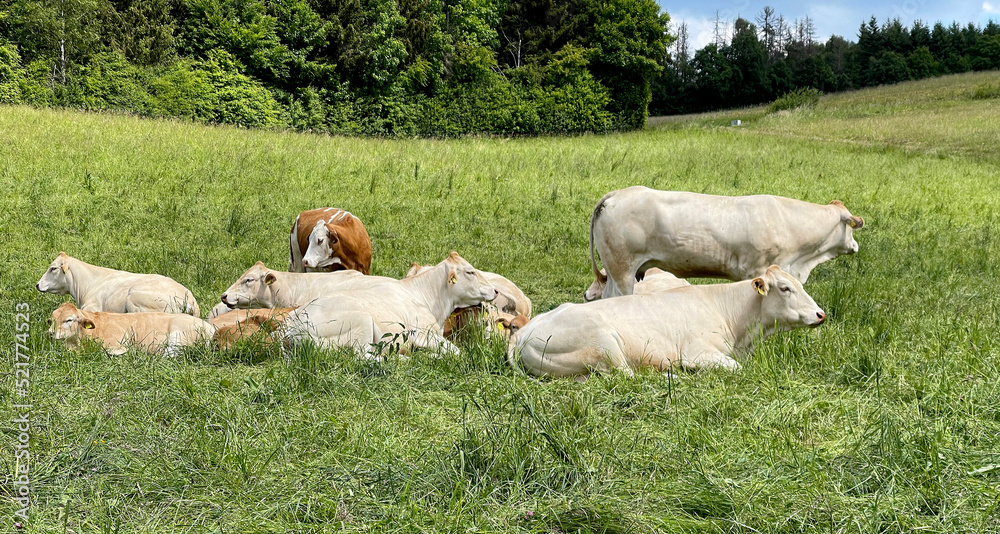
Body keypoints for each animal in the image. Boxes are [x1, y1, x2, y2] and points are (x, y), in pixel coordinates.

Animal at [48, 302, 214, 356]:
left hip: (179, 337)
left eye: (69, 319)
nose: (50, 333)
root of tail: (211, 328)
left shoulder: (117, 346)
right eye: (51, 320)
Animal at [280, 252, 497, 358]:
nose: (495, 290)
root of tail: (292, 327)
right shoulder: (425, 334)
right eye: (470, 272)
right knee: (363, 357)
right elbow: (457, 352)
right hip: (361, 322)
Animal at [510, 265, 825, 377]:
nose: (820, 314)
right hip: (604, 342)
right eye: (785, 288)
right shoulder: (699, 352)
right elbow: (736, 368)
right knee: (629, 376)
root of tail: (523, 333)